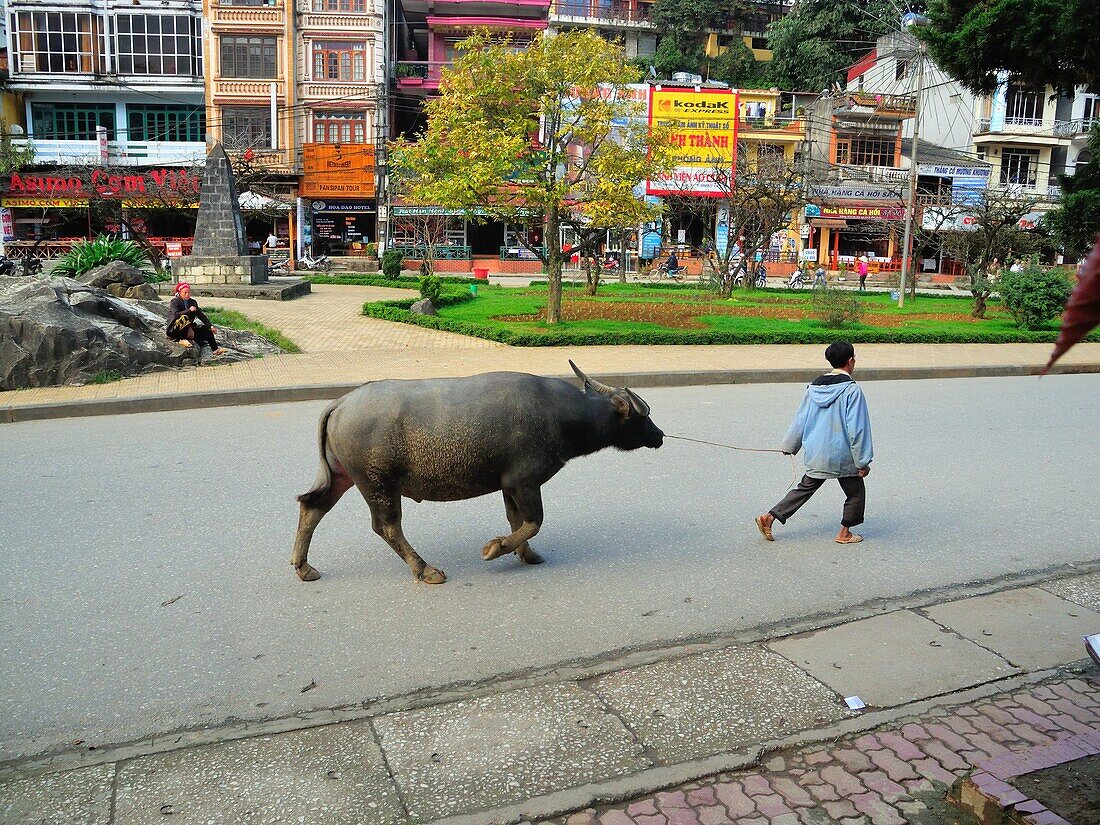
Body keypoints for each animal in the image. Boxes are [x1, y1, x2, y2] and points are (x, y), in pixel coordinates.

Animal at [292, 363, 660, 589]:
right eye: (642, 417)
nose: (658, 436)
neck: (559, 415)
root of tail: (340, 403)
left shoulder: (508, 485)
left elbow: (517, 520)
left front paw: (527, 554)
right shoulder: (525, 482)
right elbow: (534, 521)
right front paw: (497, 548)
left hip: (344, 476)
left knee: (312, 507)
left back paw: (304, 567)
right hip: (377, 483)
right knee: (387, 527)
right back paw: (426, 569)